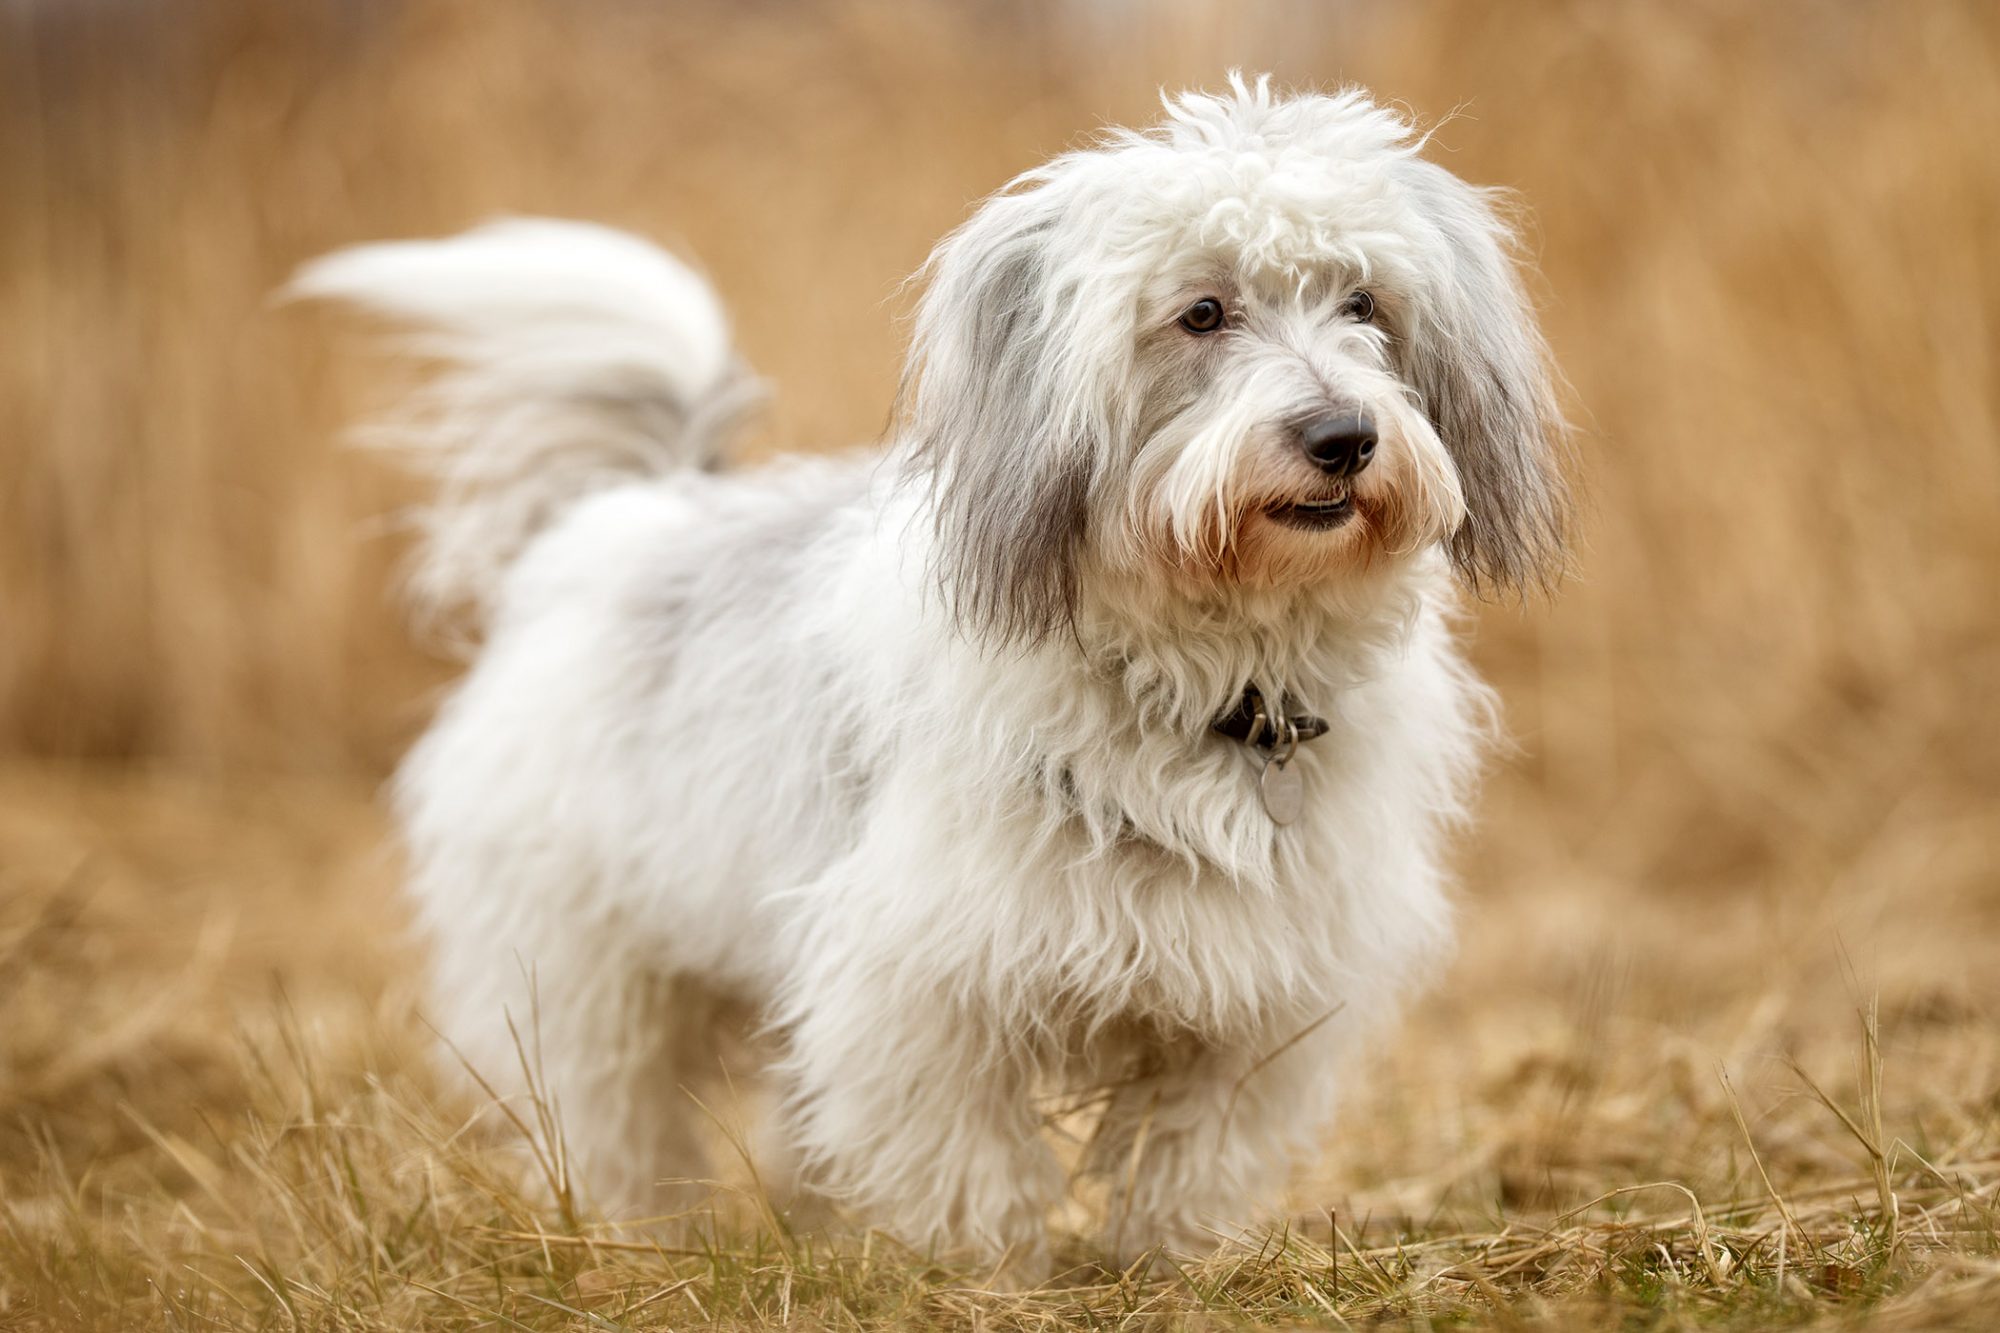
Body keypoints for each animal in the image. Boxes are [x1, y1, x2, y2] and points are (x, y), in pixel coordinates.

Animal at [296, 78, 1560, 1272]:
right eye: (1200, 312)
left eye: (1362, 303)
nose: (1342, 438)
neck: (1209, 674)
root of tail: (629, 509)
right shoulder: (921, 979)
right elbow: (967, 1156)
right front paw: (992, 1274)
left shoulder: (1258, 991)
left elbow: (1192, 1148)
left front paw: (1166, 1262)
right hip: (582, 969)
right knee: (613, 1114)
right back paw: (635, 1235)